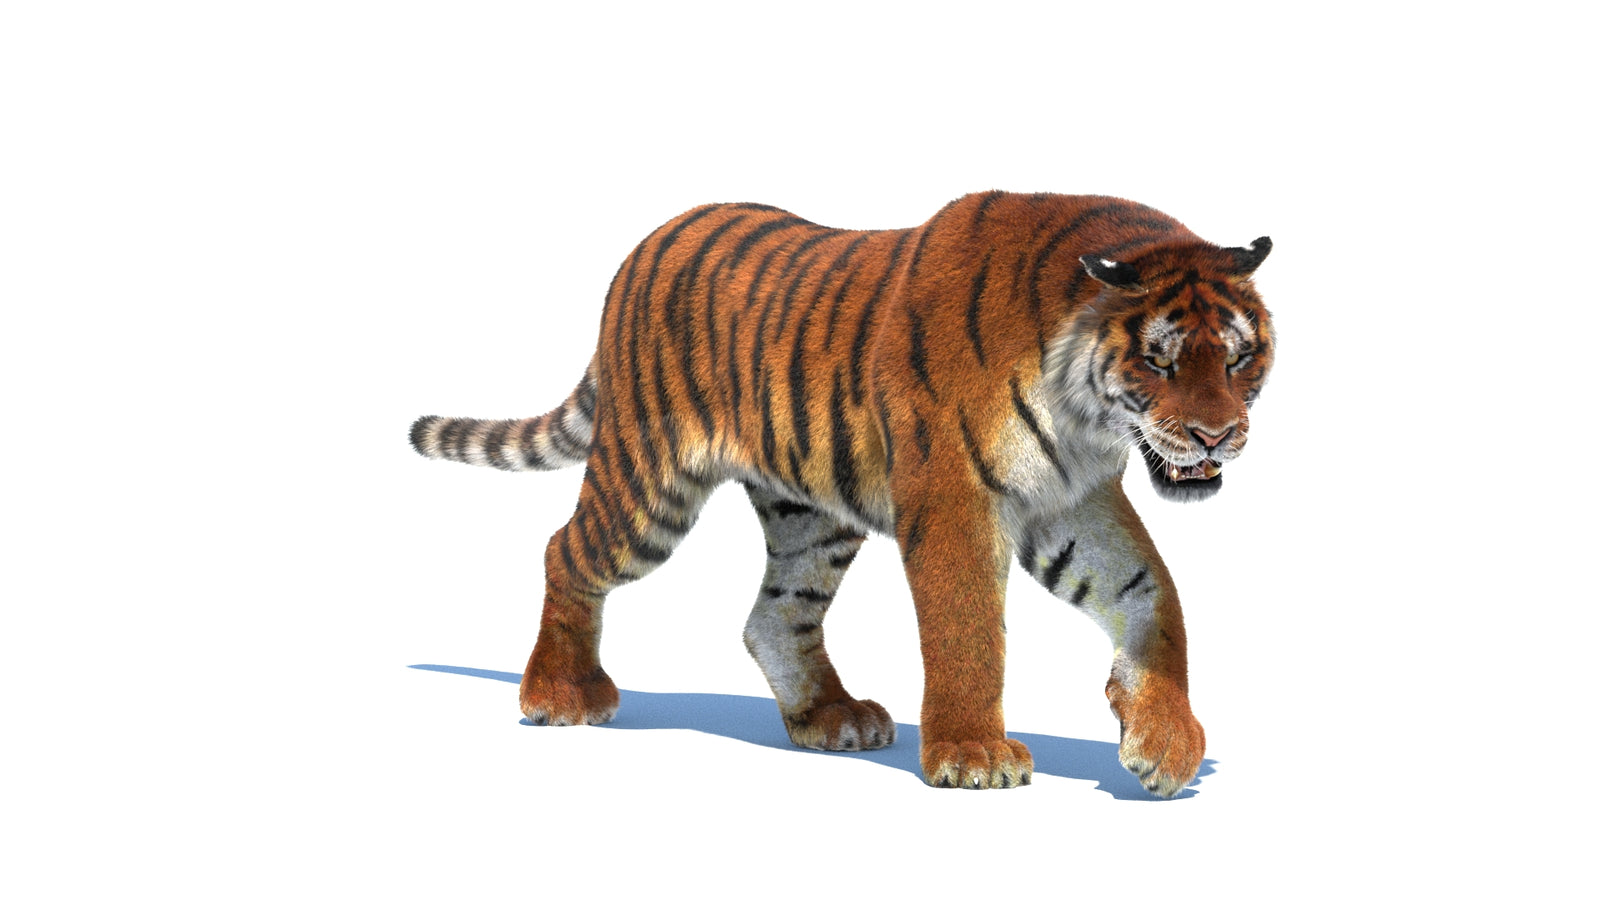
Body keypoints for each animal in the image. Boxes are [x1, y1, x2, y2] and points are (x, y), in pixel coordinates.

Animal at [409, 191, 1274, 796]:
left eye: (1238, 358)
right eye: (1159, 361)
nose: (1216, 436)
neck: (1084, 415)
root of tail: (645, 245)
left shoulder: (1071, 501)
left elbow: (1152, 595)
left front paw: (1164, 744)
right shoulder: (954, 499)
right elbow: (968, 631)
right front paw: (975, 756)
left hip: (811, 516)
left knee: (774, 615)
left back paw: (831, 717)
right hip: (648, 482)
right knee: (566, 550)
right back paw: (560, 694)